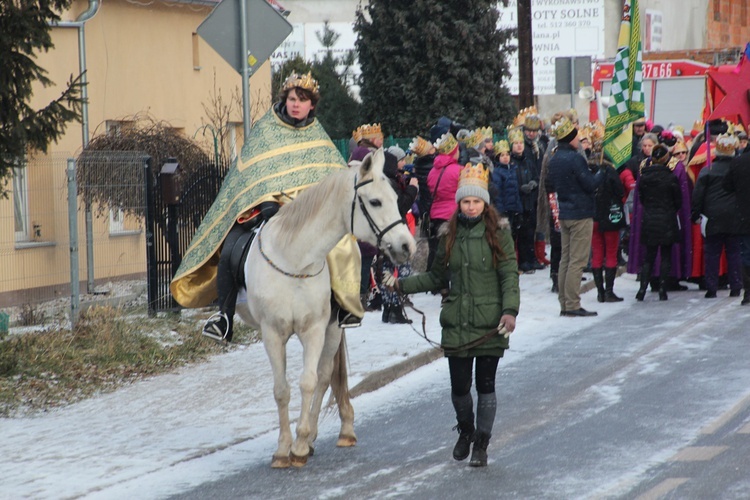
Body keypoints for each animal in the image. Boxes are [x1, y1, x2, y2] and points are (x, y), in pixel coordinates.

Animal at [236, 149, 418, 468]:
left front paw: (299, 444)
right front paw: (282, 449)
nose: (407, 246)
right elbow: (281, 390)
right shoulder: (272, 334)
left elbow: (309, 382)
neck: (295, 260)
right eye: (375, 201)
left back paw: (322, 435)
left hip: (333, 328)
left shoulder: (315, 329)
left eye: (396, 199)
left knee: (323, 376)